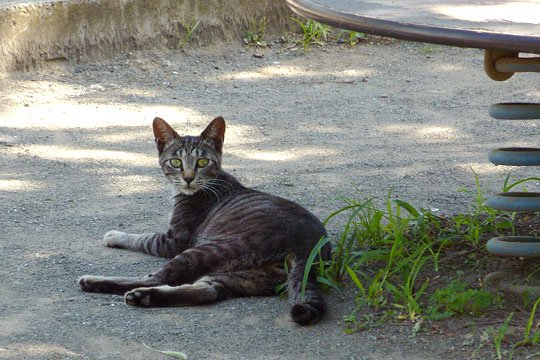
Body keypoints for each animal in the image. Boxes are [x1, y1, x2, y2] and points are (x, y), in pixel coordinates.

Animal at [76, 116, 330, 324]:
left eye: (201, 162)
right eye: (176, 162)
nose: (188, 178)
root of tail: (311, 246)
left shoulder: (172, 240)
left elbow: (143, 238)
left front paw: (114, 235)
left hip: (212, 248)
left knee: (157, 277)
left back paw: (99, 283)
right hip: (248, 276)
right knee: (209, 291)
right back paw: (145, 298)